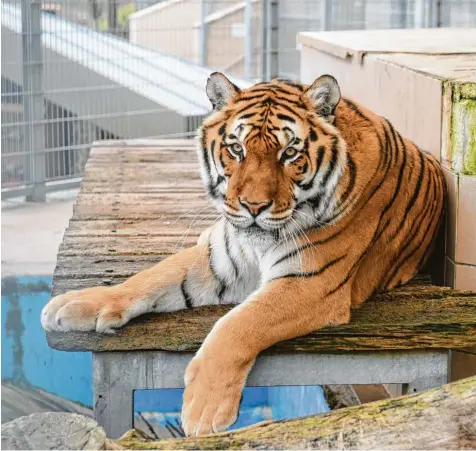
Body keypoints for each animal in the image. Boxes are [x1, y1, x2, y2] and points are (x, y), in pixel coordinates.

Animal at [41, 72, 446, 436]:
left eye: (289, 152)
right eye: (236, 148)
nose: (253, 206)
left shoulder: (311, 283)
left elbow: (238, 324)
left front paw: (204, 409)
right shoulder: (219, 258)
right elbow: (150, 277)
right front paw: (73, 305)